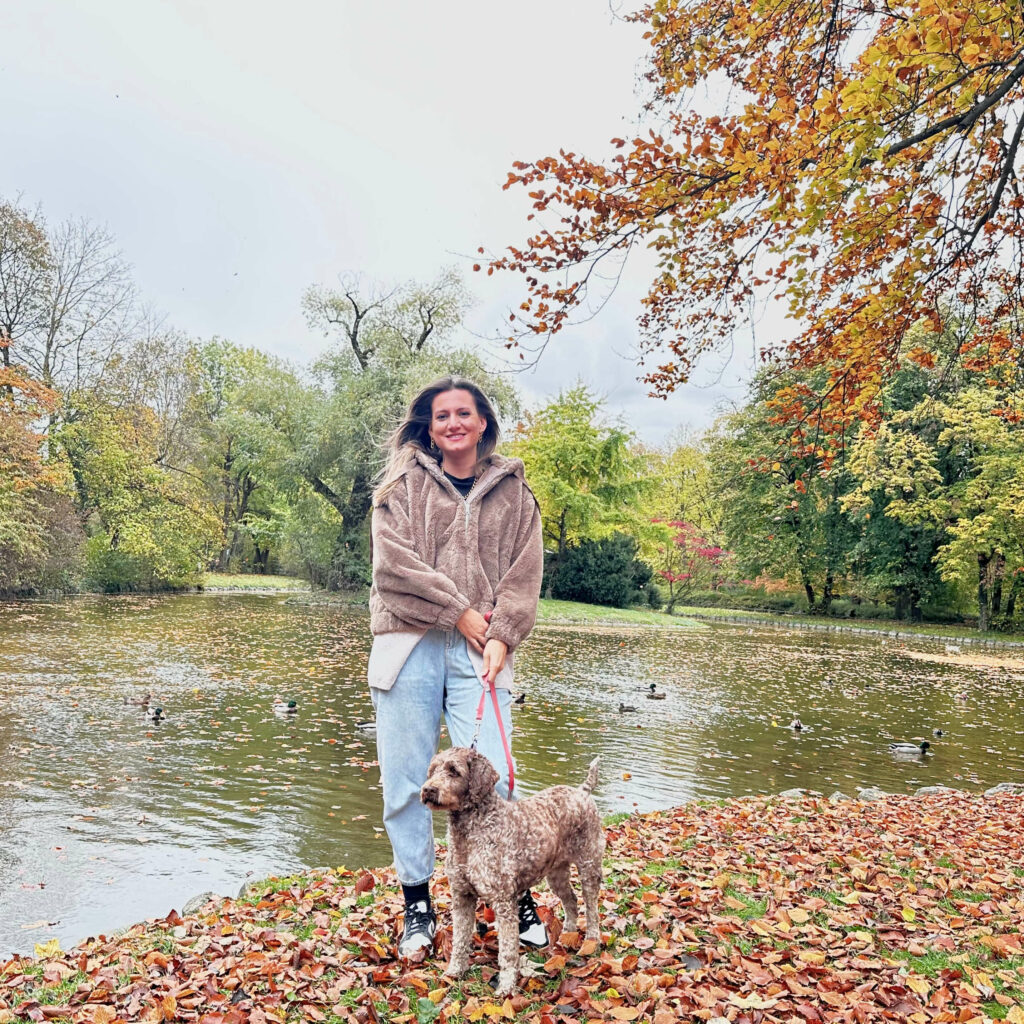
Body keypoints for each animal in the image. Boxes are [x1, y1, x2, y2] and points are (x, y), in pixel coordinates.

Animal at [419, 749, 602, 995]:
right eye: (433, 770)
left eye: (454, 771)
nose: (428, 789)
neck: (469, 835)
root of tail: (582, 791)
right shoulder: (461, 896)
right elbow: (460, 940)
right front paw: (454, 971)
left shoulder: (503, 901)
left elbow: (507, 951)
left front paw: (506, 987)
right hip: (556, 874)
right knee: (571, 900)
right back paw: (567, 935)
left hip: (589, 865)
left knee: (591, 908)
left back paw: (591, 941)